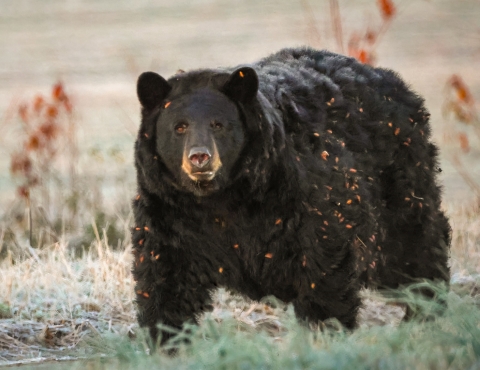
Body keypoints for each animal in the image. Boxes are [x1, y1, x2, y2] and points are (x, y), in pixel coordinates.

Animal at [131, 47, 450, 344]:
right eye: (179, 127)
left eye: (218, 125)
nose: (199, 158)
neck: (221, 198)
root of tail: (395, 82)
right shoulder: (170, 213)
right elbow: (165, 277)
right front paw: (166, 340)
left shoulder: (301, 195)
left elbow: (322, 261)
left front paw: (325, 330)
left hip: (399, 181)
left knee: (412, 247)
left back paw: (426, 311)